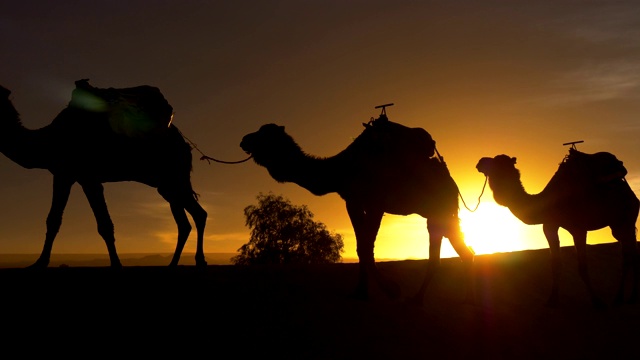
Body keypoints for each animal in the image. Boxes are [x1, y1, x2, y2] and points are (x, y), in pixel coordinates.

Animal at [0, 80, 208, 268]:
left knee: (199, 215)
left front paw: (116, 264)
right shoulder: (68, 175)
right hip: (167, 185)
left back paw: (199, 261)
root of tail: (185, 145)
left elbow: (102, 224)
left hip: (174, 177)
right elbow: (55, 220)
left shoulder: (81, 176)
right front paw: (40, 262)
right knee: (186, 222)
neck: (47, 140)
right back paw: (173, 263)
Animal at [238, 113, 472, 304]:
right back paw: (458, 298)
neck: (342, 169)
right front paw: (361, 292)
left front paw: (392, 289)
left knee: (441, 252)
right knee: (461, 248)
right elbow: (361, 248)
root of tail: (451, 182)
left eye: (265, 134)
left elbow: (367, 248)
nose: (243, 140)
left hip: (439, 209)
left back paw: (419, 299)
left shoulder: (376, 202)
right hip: (440, 213)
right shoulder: (353, 202)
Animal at [478, 149, 636, 306]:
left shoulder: (578, 229)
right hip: (617, 225)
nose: (480, 162)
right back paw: (626, 297)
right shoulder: (549, 225)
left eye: (497, 162)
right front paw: (552, 300)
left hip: (626, 219)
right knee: (628, 252)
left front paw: (597, 300)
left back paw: (622, 298)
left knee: (628, 256)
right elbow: (555, 264)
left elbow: (582, 266)